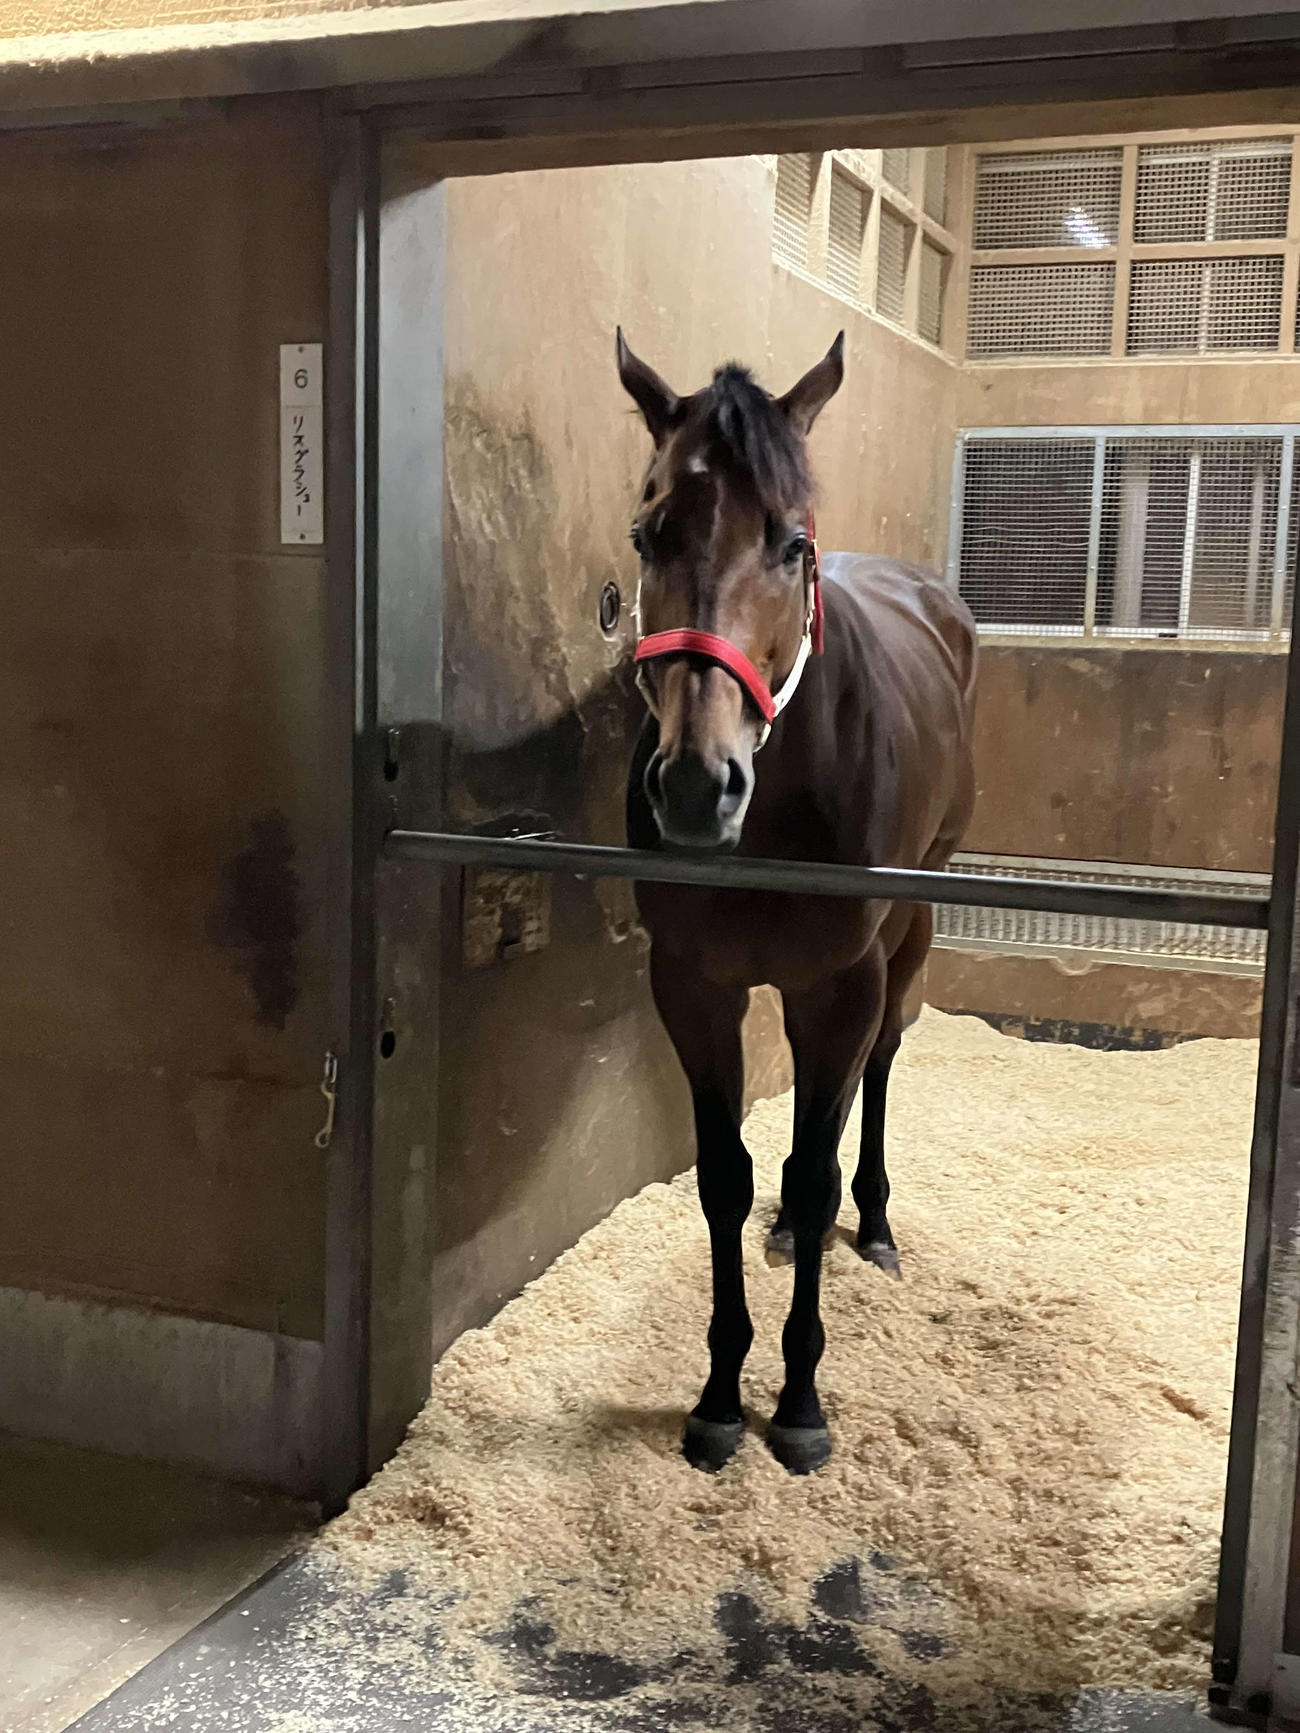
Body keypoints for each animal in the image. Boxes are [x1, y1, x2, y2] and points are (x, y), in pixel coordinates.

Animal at [617, 329, 978, 1476]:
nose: (697, 785)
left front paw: (802, 1402)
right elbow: (721, 1179)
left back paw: (871, 1226)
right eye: (648, 532)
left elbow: (821, 1159)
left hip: (908, 933)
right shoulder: (694, 986)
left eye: (788, 543)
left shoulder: (841, 981)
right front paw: (720, 1394)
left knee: (880, 1063)